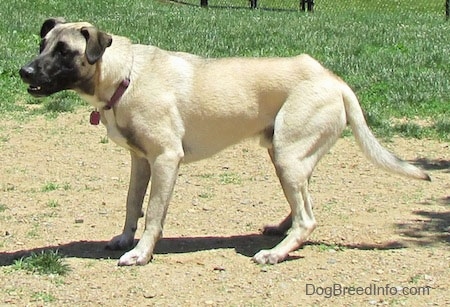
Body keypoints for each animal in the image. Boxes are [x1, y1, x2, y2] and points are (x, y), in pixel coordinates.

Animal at [19, 18, 430, 266]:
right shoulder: (141, 161)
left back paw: (275, 253)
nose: (23, 71)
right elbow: (131, 204)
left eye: (64, 51)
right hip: (288, 155)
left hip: (287, 156)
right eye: (42, 44)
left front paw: (141, 254)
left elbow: (153, 214)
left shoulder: (166, 159)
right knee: (303, 204)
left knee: (308, 218)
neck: (125, 74)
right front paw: (124, 239)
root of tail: (334, 80)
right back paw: (281, 231)